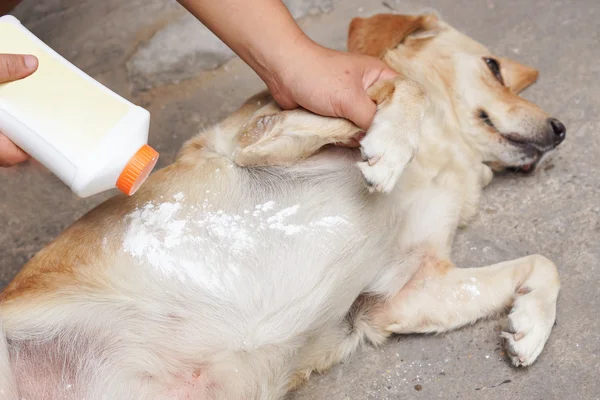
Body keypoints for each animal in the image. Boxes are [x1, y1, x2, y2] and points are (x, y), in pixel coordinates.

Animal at [0, 12, 564, 400]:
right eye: (492, 67)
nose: (560, 129)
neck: (445, 161)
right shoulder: (255, 138)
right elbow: (402, 88)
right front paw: (388, 147)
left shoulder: (405, 293)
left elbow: (544, 264)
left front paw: (529, 328)